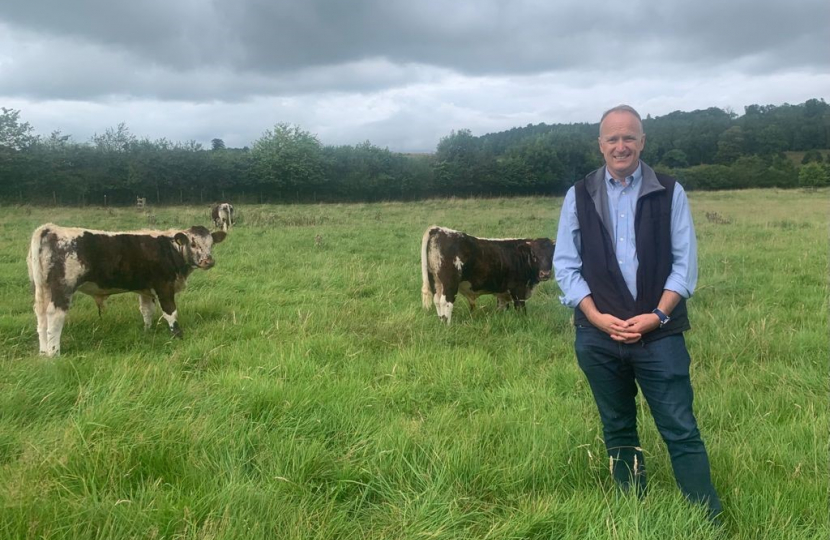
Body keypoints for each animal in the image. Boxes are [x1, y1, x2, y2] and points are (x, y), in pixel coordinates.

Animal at [27, 221, 226, 356]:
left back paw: (44, 352)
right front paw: (177, 335)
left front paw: (147, 332)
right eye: (193, 243)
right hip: (62, 288)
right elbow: (170, 312)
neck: (170, 249)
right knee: (54, 316)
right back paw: (54, 353)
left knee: (41, 317)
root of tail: (49, 229)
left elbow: (147, 311)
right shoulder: (164, 287)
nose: (208, 261)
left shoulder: (146, 289)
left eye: (211, 244)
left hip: (42, 288)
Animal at [426, 225, 556, 322]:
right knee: (446, 303)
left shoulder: (502, 292)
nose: (545, 274)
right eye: (534, 255)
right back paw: (447, 324)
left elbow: (501, 308)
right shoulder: (518, 290)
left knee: (437, 301)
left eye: (552, 255)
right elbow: (521, 309)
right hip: (450, 283)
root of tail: (439, 229)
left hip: (435, 281)